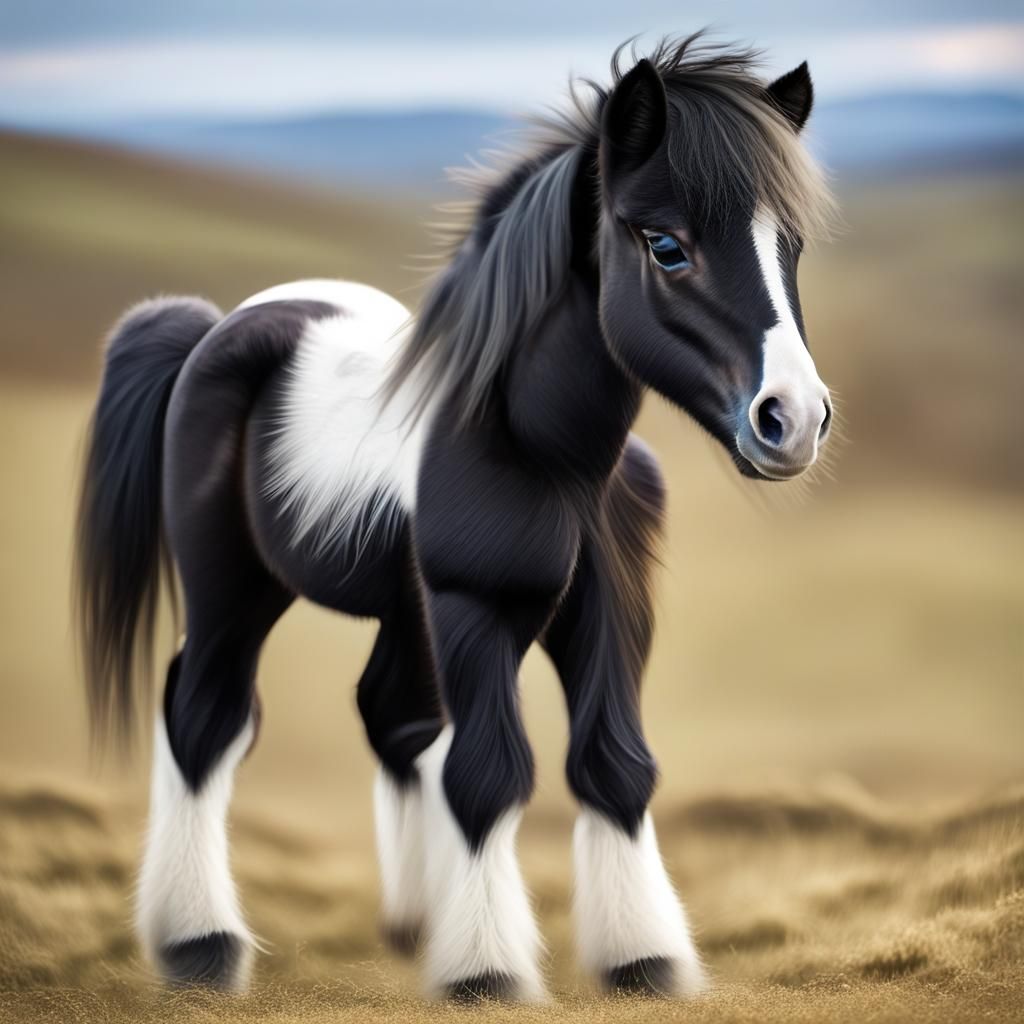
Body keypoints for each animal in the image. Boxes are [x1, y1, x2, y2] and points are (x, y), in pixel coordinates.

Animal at [75, 34, 835, 1002]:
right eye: (666, 247)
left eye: (793, 246)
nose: (793, 420)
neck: (539, 449)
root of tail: (214, 329)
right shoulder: (476, 611)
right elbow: (487, 775)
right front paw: (486, 972)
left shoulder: (610, 611)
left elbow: (616, 765)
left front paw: (641, 959)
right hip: (232, 590)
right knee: (202, 718)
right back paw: (199, 944)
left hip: (403, 612)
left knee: (391, 718)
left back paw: (409, 926)